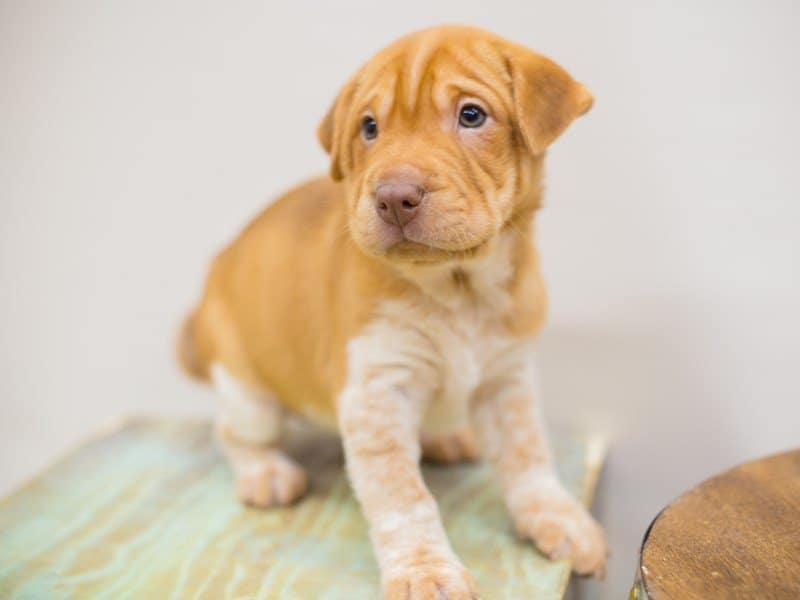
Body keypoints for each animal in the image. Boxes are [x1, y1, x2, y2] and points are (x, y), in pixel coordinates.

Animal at [180, 24, 608, 600]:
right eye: (369, 127)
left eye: (471, 115)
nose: (394, 197)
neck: (459, 288)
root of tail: (217, 266)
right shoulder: (377, 392)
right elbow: (403, 496)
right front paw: (427, 569)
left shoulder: (507, 380)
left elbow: (529, 457)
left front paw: (560, 519)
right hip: (248, 393)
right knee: (233, 433)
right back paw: (265, 472)